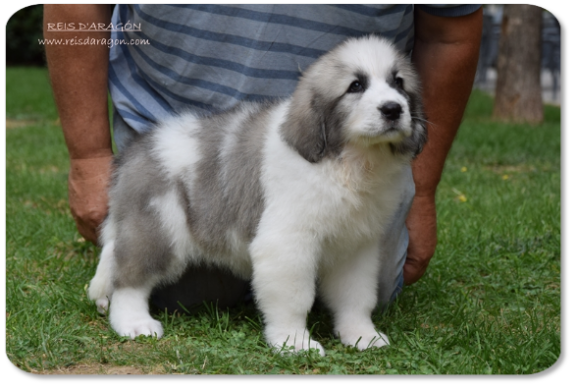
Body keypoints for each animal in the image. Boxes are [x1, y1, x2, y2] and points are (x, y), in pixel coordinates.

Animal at [88, 35, 426, 354]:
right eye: (356, 86)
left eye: (398, 83)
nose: (393, 109)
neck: (348, 162)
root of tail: (134, 153)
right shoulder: (287, 243)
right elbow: (294, 298)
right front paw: (295, 343)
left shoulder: (355, 246)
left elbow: (356, 295)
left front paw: (362, 335)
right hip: (159, 226)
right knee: (129, 278)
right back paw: (134, 322)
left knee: (115, 251)